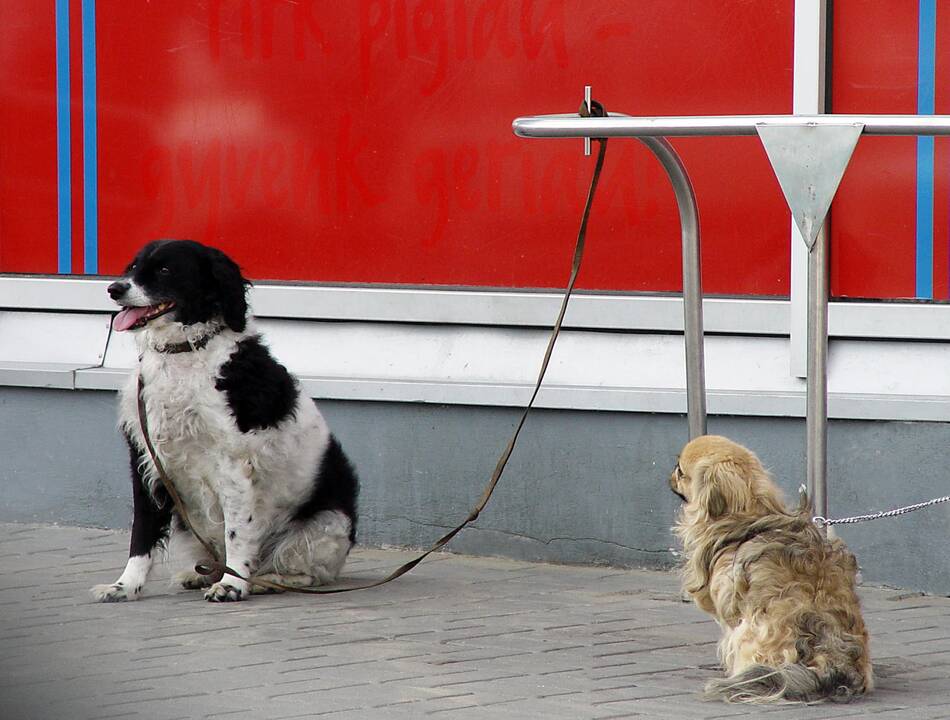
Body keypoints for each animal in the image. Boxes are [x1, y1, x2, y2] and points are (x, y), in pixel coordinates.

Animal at [91, 240, 358, 600]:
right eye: (133, 267)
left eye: (165, 269)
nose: (114, 289)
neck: (183, 353)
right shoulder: (146, 458)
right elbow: (141, 533)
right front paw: (125, 586)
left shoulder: (233, 464)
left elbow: (237, 534)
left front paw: (232, 585)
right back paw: (198, 575)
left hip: (328, 523)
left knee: (308, 574)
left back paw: (264, 582)